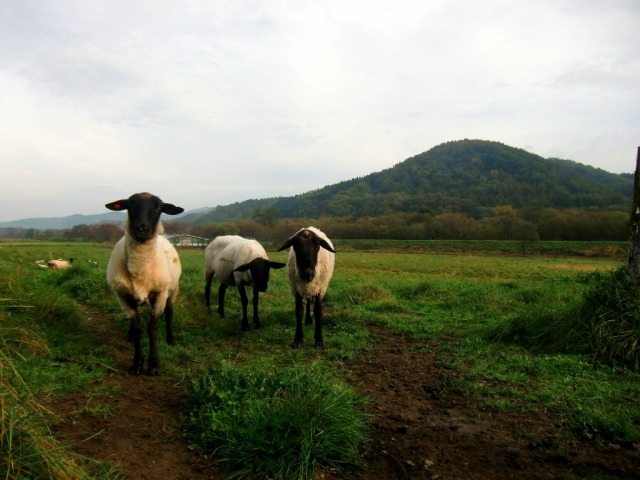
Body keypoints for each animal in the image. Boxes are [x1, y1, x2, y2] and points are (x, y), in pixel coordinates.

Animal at [105, 191, 184, 376]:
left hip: (172, 290)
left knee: (169, 314)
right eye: (130, 204)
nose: (141, 229)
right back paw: (129, 337)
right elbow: (137, 328)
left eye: (159, 207)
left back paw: (170, 339)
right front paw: (137, 364)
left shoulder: (160, 294)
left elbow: (152, 328)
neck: (139, 271)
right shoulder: (123, 296)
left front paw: (154, 365)